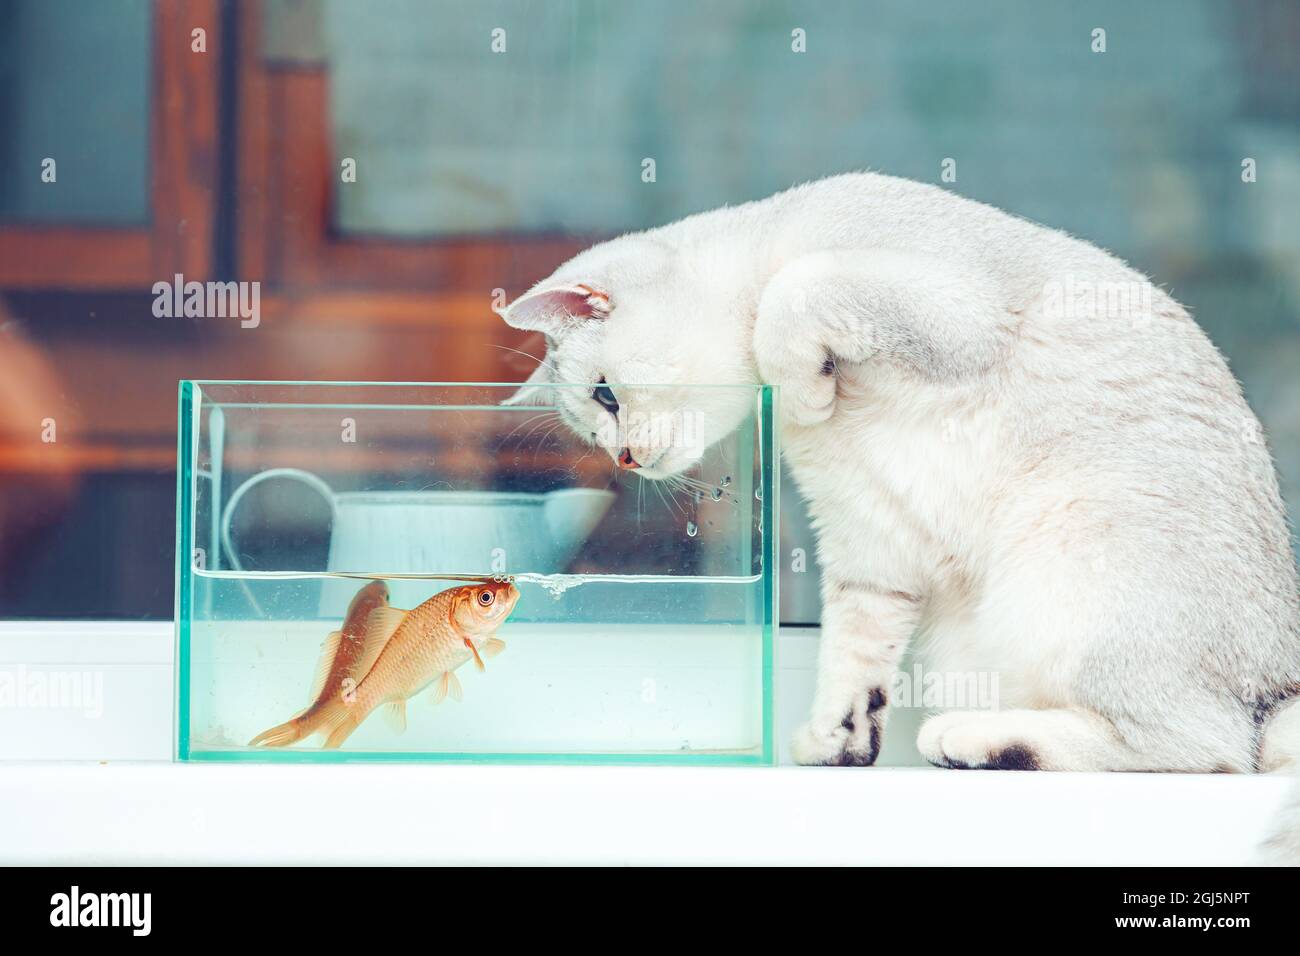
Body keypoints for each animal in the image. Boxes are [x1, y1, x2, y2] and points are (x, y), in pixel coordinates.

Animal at [499, 170, 1300, 770]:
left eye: (606, 396)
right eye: (592, 426)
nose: (623, 459)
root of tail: (1279, 683)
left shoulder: (948, 311)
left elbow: (794, 290)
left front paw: (805, 382)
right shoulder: (865, 534)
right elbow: (852, 656)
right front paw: (836, 743)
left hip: (1076, 573)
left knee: (1208, 748)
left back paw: (972, 739)